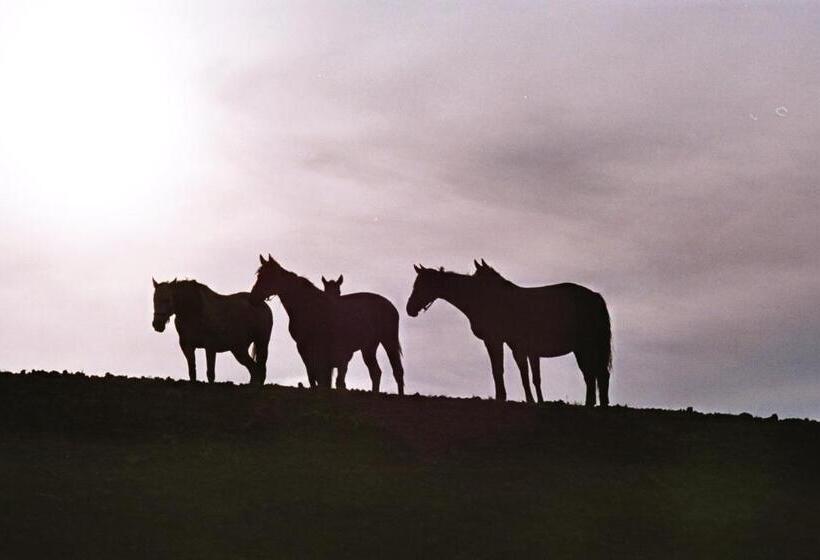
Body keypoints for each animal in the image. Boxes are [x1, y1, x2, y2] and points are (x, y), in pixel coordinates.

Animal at [250, 256, 404, 396]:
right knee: (376, 372)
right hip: (369, 347)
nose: (253, 297)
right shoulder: (306, 347)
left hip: (388, 342)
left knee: (397, 371)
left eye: (268, 276)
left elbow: (320, 375)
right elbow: (315, 375)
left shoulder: (313, 348)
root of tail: (390, 306)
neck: (307, 305)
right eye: (259, 275)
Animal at [406, 260, 612, 404]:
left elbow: (498, 369)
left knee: (594, 374)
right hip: (583, 348)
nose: (410, 309)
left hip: (585, 346)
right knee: (594, 375)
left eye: (422, 285)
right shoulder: (516, 346)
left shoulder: (495, 340)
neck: (482, 297)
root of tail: (595, 297)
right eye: (415, 284)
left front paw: (501, 397)